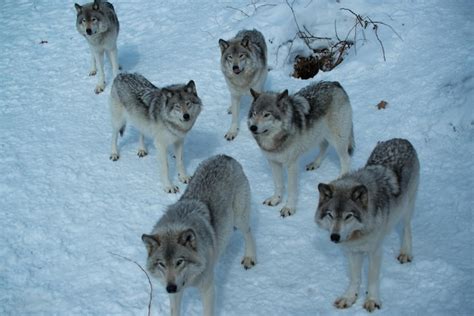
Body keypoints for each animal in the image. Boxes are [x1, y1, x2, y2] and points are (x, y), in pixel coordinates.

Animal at [143, 156, 258, 316]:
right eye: (161, 264)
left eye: (179, 262)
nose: (170, 288)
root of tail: (225, 156)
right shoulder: (176, 292)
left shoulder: (208, 289)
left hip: (240, 219)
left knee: (248, 233)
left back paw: (249, 258)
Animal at [248, 80, 352, 216]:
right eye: (254, 114)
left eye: (266, 115)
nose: (253, 128)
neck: (275, 141)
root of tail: (335, 83)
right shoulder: (273, 162)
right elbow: (278, 184)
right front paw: (275, 200)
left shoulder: (291, 165)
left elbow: (291, 190)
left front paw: (289, 208)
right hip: (319, 136)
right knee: (324, 146)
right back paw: (315, 164)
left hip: (337, 139)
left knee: (345, 159)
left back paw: (342, 176)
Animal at [314, 139, 418, 314]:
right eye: (331, 215)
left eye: (348, 216)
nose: (334, 237)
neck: (359, 234)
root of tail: (401, 139)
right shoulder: (352, 251)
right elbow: (355, 277)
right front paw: (349, 298)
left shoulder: (375, 252)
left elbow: (372, 278)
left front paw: (372, 301)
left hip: (406, 207)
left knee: (407, 228)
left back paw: (405, 253)